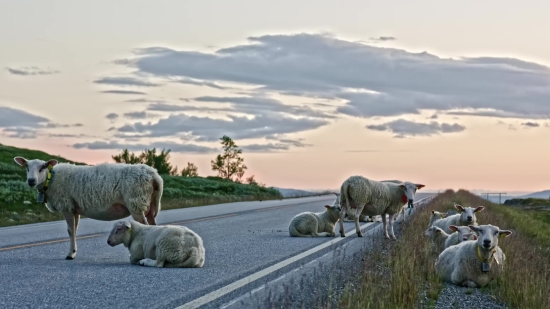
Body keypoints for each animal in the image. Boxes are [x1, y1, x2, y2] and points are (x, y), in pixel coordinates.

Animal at [13, 155, 164, 258]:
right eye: (27, 167)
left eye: (42, 167)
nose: (31, 181)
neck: (50, 179)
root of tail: (154, 174)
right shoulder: (74, 208)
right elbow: (74, 229)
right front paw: (74, 251)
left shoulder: (66, 205)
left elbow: (70, 231)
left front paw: (70, 254)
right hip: (151, 205)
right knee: (154, 225)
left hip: (136, 202)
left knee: (146, 226)